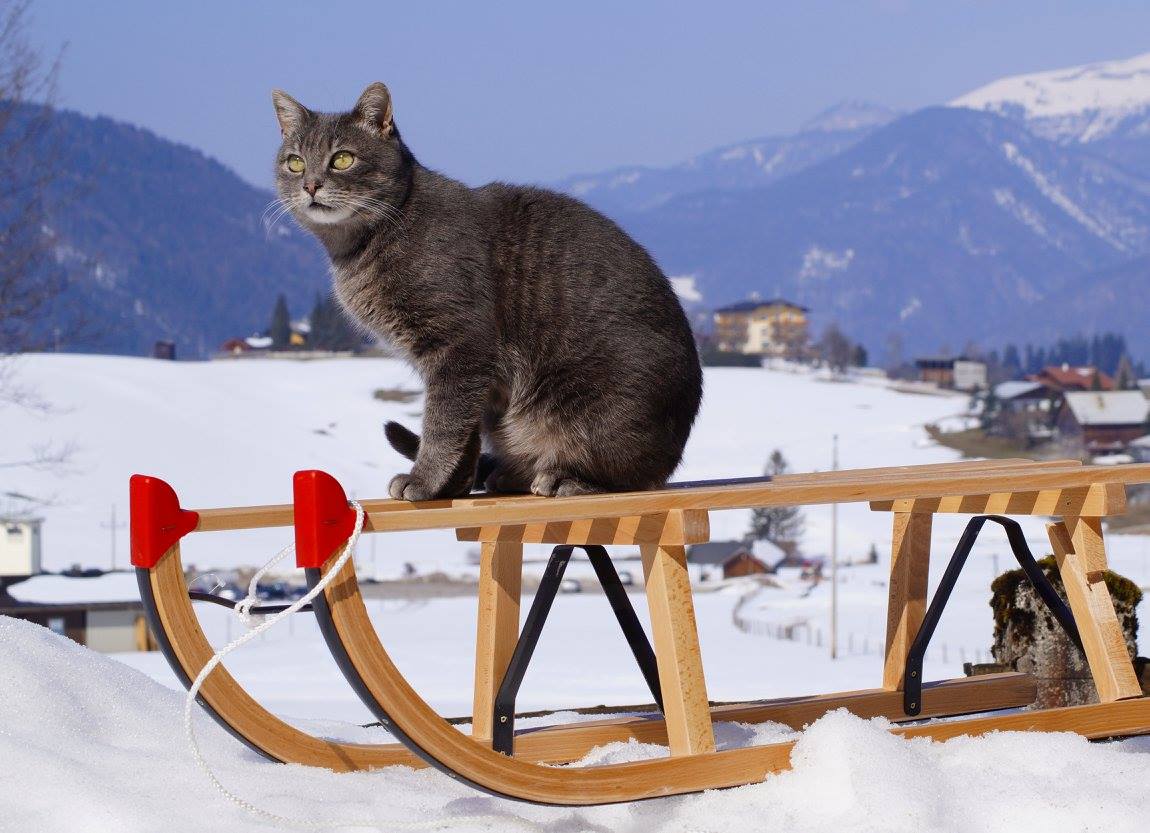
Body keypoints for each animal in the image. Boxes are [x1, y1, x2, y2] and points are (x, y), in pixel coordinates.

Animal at [273, 84, 699, 501]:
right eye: (294, 163)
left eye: (342, 159)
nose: (310, 184)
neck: (356, 250)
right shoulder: (468, 373)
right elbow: (465, 433)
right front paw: (451, 488)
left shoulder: (461, 347)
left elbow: (442, 426)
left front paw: (423, 480)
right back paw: (509, 475)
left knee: (635, 476)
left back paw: (566, 478)